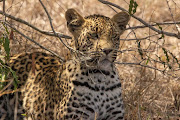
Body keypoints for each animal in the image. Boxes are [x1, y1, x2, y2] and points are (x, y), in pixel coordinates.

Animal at [0, 8, 129, 119]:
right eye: (93, 35)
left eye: (114, 36)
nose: (107, 50)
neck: (101, 78)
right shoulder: (74, 115)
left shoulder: (115, 115)